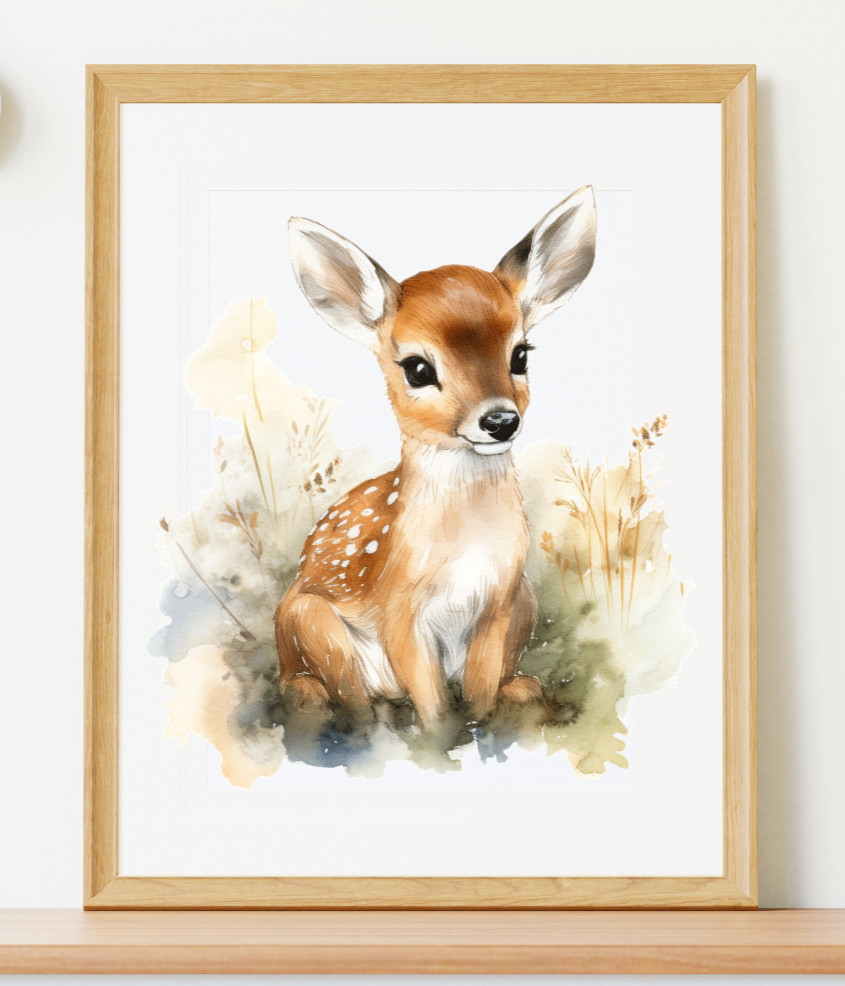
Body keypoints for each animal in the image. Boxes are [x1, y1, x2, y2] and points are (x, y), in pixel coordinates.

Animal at [274, 187, 597, 731]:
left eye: (521, 355)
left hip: (527, 599)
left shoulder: (500, 602)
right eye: (418, 368)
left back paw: (524, 690)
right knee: (341, 697)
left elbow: (480, 689)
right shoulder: (399, 610)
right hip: (310, 622)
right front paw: (439, 740)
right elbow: (431, 703)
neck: (464, 548)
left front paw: (483, 728)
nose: (500, 420)